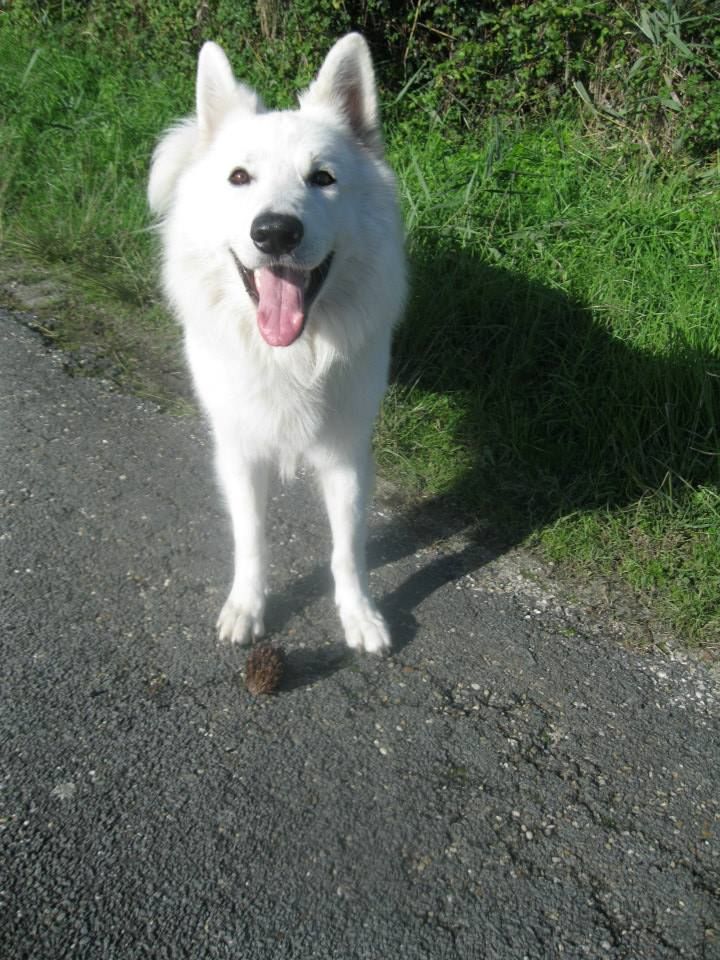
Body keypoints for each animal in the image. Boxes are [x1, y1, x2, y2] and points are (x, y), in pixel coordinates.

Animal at [148, 35, 404, 652]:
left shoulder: (348, 454)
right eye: (240, 177)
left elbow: (348, 548)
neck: (292, 354)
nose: (275, 232)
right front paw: (247, 607)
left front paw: (359, 615)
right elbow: (252, 538)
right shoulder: (239, 450)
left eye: (323, 178)